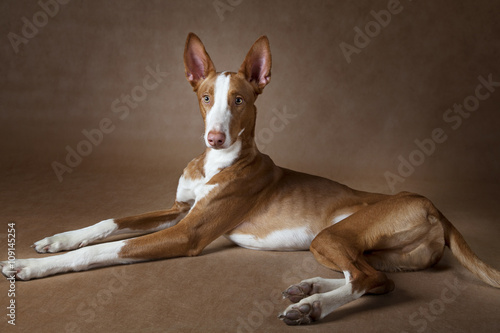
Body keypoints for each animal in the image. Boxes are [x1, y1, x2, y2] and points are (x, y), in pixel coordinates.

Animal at [0, 33, 500, 324]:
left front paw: (27, 266)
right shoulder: (180, 211)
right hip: (366, 249)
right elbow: (108, 223)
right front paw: (56, 239)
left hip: (335, 234)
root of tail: (431, 204)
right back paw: (308, 288)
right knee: (378, 278)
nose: (215, 137)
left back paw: (311, 306)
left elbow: (103, 250)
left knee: (364, 278)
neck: (215, 164)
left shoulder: (187, 233)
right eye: (206, 97)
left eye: (239, 100)